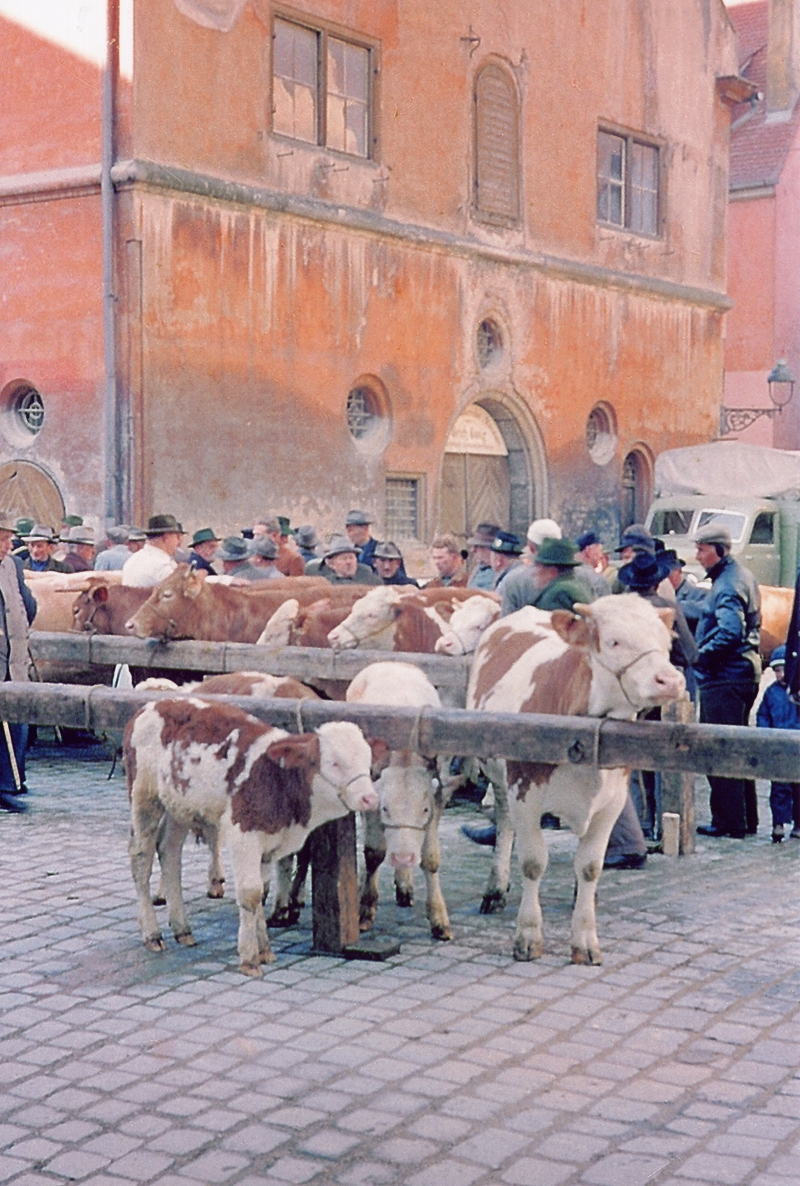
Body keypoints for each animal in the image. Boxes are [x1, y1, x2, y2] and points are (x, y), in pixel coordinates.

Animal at [127, 692, 379, 972]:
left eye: (368, 762)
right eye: (334, 763)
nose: (370, 798)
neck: (278, 779)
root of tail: (152, 705)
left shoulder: (269, 844)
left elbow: (262, 890)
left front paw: (265, 950)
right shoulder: (243, 836)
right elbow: (250, 893)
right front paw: (249, 958)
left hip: (179, 806)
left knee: (169, 852)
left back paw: (182, 929)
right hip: (144, 798)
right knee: (141, 858)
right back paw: (152, 933)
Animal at [348, 664, 452, 939]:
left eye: (424, 809)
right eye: (385, 808)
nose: (404, 858)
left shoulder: (438, 800)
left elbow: (430, 858)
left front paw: (439, 919)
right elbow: (373, 853)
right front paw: (365, 910)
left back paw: (405, 883)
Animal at [466, 597, 687, 967]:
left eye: (666, 642)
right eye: (614, 642)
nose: (670, 680)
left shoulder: (611, 802)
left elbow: (590, 867)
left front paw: (584, 938)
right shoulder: (524, 793)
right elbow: (532, 863)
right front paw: (528, 936)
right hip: (499, 775)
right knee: (504, 822)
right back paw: (495, 889)